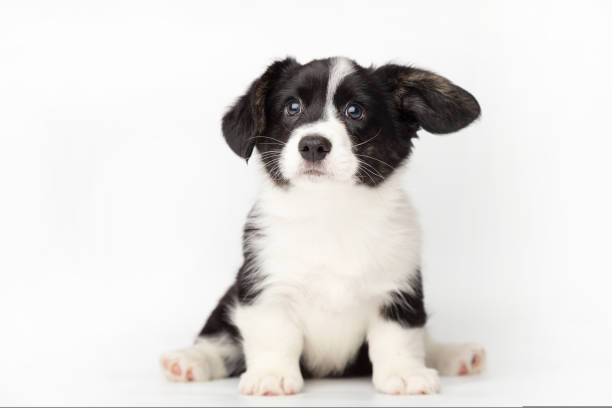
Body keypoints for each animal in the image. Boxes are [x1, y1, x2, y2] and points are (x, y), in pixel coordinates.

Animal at [163, 56, 488, 396]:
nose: (313, 145)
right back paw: (190, 360)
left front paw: (405, 373)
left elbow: (400, 338)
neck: (330, 209)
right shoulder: (266, 286)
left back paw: (456, 355)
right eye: (292, 107)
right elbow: (273, 336)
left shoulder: (398, 290)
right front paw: (271, 375)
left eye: (355, 111)